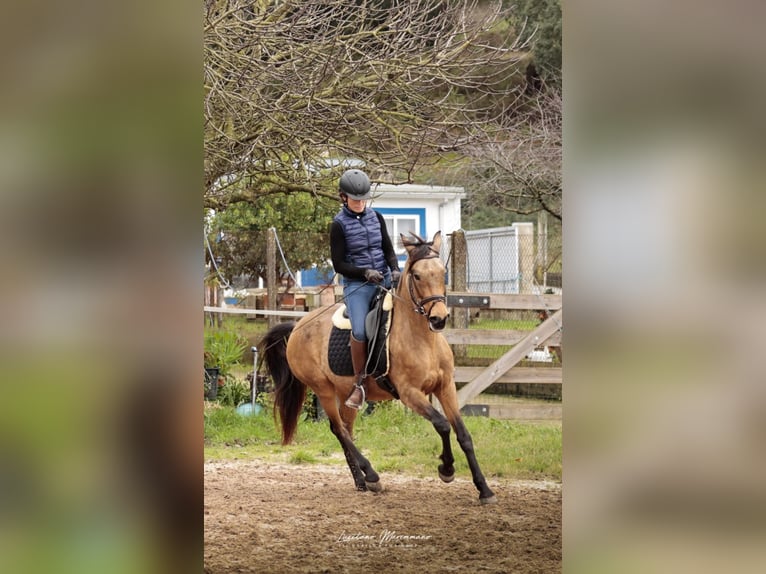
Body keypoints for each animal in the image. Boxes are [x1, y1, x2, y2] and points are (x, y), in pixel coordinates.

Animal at [259, 231, 497, 504]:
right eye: (417, 275)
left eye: (441, 272)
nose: (439, 318)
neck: (423, 340)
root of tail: (298, 325)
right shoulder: (409, 393)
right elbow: (443, 425)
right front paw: (446, 469)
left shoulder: (445, 388)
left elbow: (463, 435)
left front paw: (484, 489)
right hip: (323, 390)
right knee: (339, 429)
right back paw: (371, 474)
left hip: (347, 393)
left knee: (346, 429)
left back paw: (362, 481)